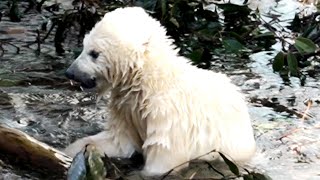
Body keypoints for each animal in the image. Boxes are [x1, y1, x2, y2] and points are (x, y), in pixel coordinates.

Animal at [63, 6, 256, 176]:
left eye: (94, 53)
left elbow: (164, 158)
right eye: (84, 46)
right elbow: (118, 140)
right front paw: (73, 150)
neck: (151, 81)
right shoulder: (125, 107)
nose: (70, 72)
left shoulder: (168, 115)